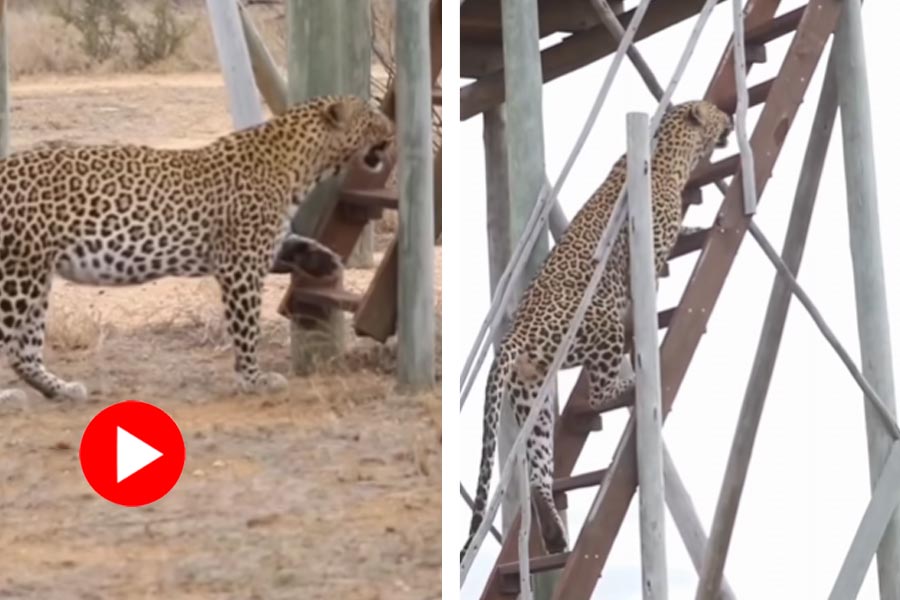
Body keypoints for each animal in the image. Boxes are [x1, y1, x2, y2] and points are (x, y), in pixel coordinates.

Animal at [0, 94, 393, 403]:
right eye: (372, 116)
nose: (391, 128)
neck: (303, 166)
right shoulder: (239, 264)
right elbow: (247, 327)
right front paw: (252, 378)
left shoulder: (255, 248)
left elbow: (293, 245)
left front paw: (324, 262)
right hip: (17, 276)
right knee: (12, 343)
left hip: (37, 277)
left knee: (24, 352)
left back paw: (62, 389)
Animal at [462, 100, 732, 559]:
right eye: (714, 110)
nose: (731, 118)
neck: (674, 152)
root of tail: (512, 336)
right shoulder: (647, 253)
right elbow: (655, 271)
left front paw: (695, 228)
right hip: (597, 321)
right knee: (598, 393)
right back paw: (634, 383)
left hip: (532, 398)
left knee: (539, 468)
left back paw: (553, 532)